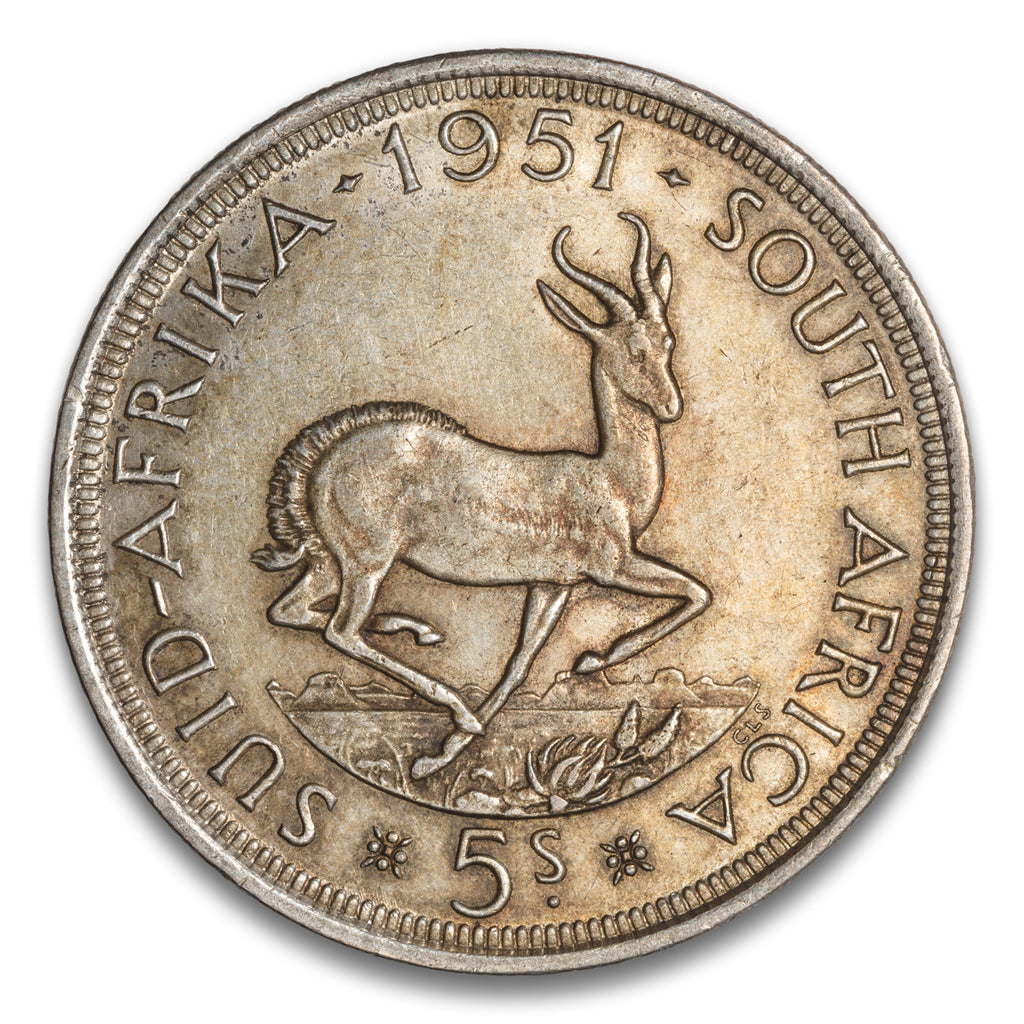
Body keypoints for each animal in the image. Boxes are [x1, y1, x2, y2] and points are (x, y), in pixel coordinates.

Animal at [251, 212, 711, 778]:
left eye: (668, 341)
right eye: (633, 350)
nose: (671, 407)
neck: (611, 482)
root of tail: (319, 460)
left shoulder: (551, 586)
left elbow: (519, 663)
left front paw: (439, 756)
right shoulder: (614, 566)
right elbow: (697, 592)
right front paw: (595, 658)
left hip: (330, 561)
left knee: (291, 612)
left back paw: (418, 636)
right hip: (368, 562)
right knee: (340, 630)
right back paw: (456, 704)